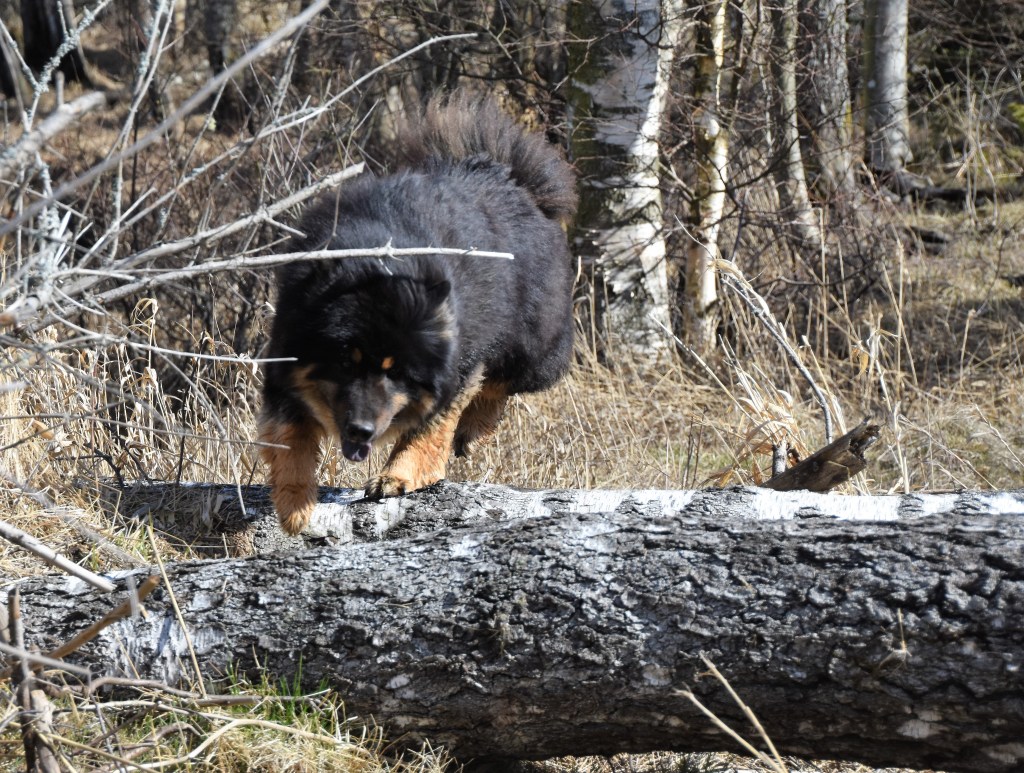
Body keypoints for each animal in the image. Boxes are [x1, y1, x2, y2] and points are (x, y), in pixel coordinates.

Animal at [258, 92, 577, 534]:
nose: (361, 429)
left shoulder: (455, 364)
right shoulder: (286, 354)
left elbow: (429, 428)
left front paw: (398, 475)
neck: (378, 266)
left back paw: (474, 430)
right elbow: (289, 433)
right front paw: (293, 502)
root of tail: (507, 175)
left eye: (397, 373)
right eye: (345, 363)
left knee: (502, 381)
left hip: (531, 340)